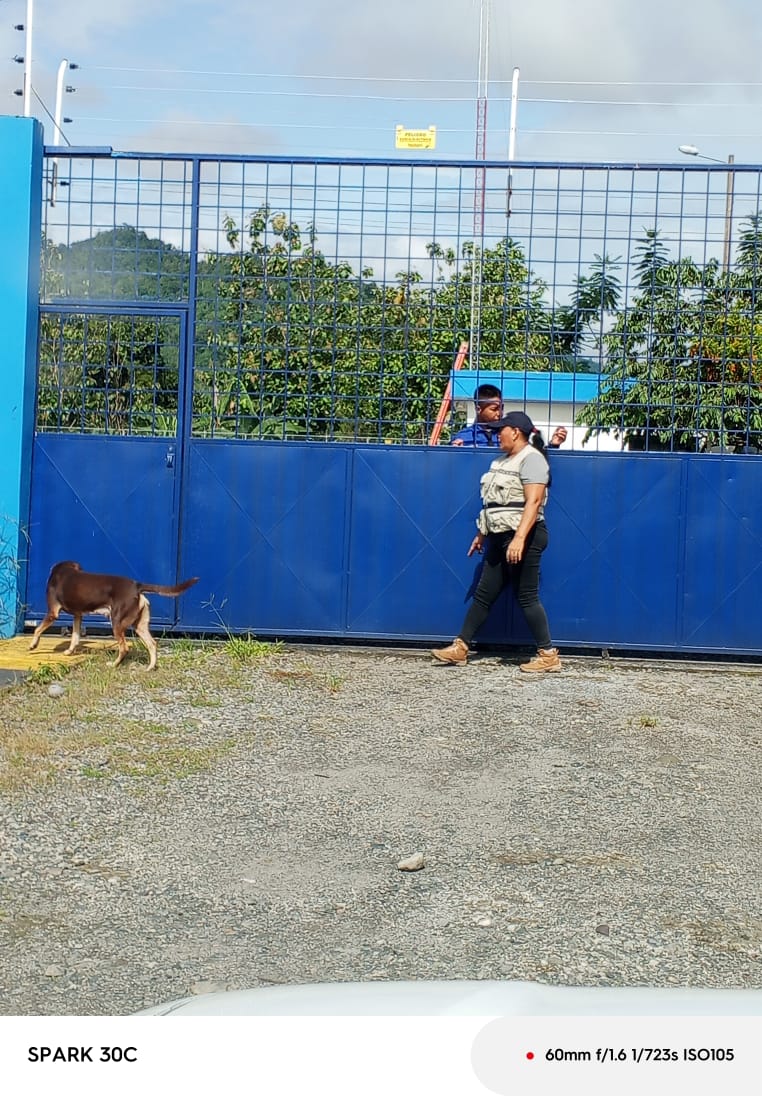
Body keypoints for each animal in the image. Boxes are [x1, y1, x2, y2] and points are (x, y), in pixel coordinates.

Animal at [28, 561, 199, 671]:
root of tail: (137, 585)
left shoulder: (53, 613)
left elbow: (37, 630)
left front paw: (33, 645)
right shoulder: (78, 616)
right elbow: (75, 637)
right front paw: (69, 652)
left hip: (116, 622)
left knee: (124, 648)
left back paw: (114, 665)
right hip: (139, 626)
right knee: (152, 644)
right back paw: (150, 667)